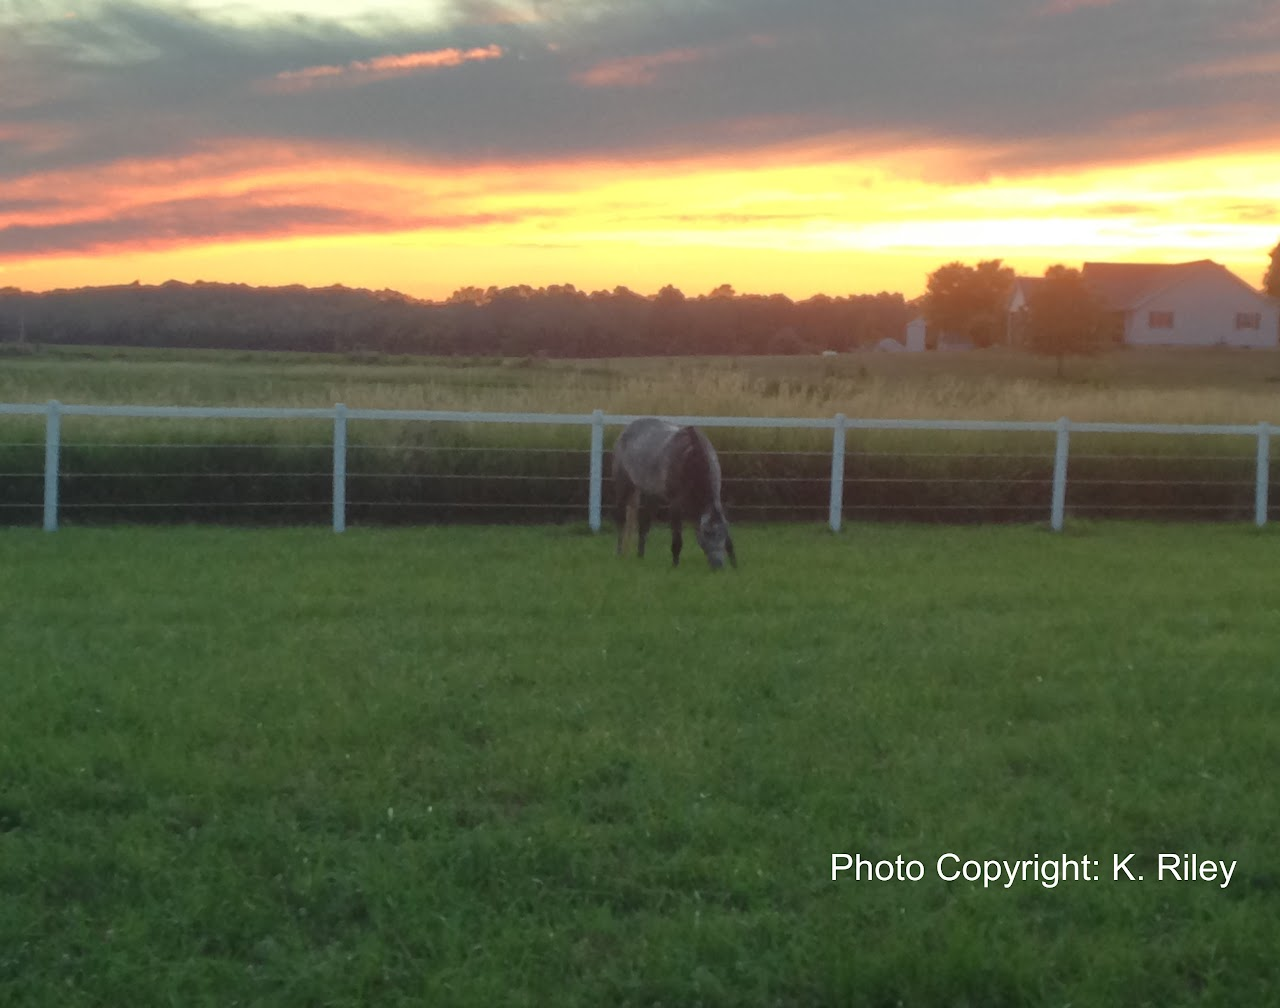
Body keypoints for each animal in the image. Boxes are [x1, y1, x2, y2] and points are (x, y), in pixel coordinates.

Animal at [611, 417, 737, 570]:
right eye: (706, 533)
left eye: (723, 532)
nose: (718, 565)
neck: (691, 458)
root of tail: (627, 428)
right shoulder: (676, 505)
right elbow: (677, 539)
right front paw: (674, 565)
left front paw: (735, 565)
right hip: (623, 486)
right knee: (621, 521)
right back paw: (619, 553)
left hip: (651, 495)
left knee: (644, 524)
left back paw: (640, 556)